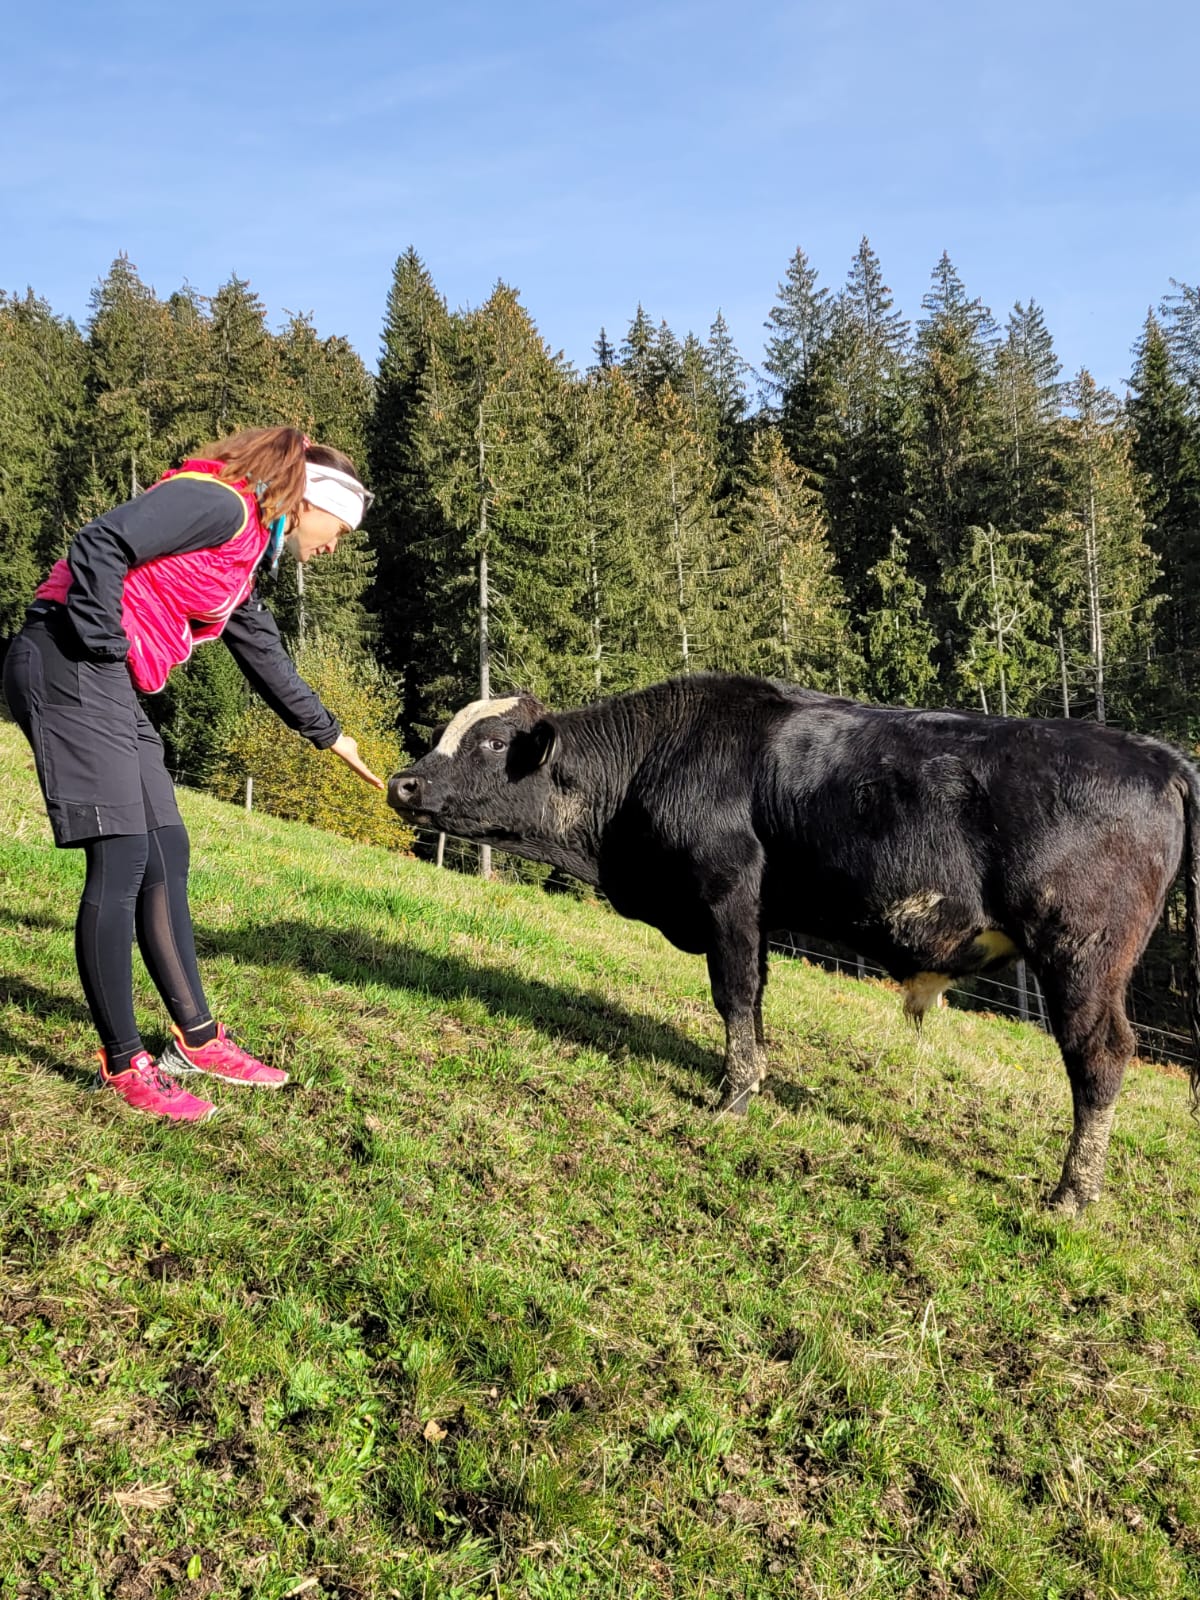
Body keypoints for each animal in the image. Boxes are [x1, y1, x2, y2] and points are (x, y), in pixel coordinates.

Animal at [387, 673, 1200, 1213]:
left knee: (1101, 1057)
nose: (402, 783)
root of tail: (1153, 754)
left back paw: (1072, 1194)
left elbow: (734, 993)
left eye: (491, 742)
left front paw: (733, 1096)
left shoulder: (728, 895)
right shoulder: (754, 913)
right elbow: (756, 997)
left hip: (1082, 954)